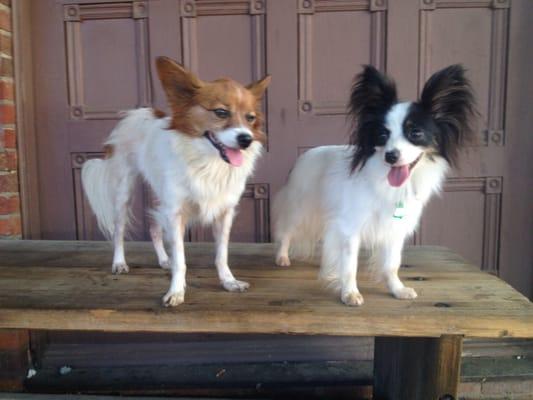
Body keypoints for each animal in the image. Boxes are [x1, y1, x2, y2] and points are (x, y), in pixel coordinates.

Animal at [81, 56, 270, 306]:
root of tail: (137, 113)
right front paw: (177, 291)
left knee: (153, 228)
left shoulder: (223, 213)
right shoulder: (175, 213)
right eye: (221, 112)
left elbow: (222, 255)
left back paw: (163, 260)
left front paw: (228, 281)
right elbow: (181, 259)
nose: (246, 139)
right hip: (125, 192)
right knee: (119, 230)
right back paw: (119, 262)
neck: (209, 162)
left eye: (250, 118)